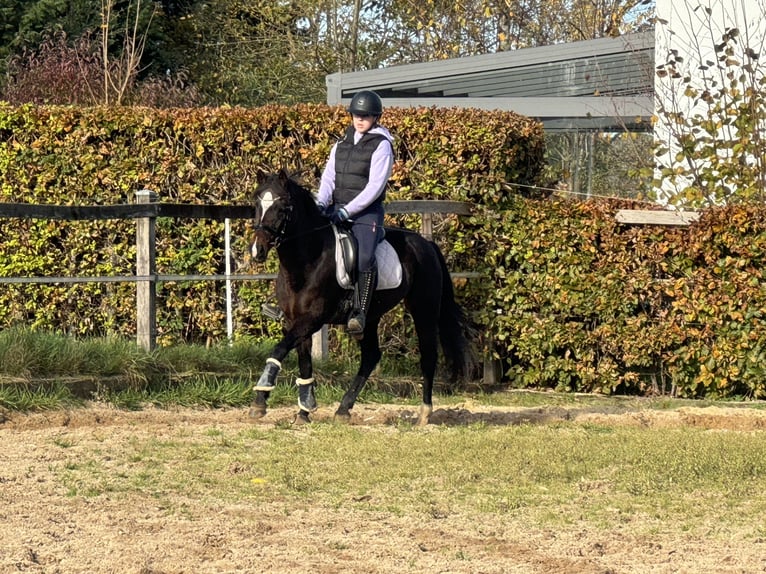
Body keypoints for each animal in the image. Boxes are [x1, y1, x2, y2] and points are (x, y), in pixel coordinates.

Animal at [248, 170, 472, 425]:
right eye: (257, 204)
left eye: (283, 207)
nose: (257, 250)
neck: (307, 260)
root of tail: (426, 244)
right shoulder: (295, 320)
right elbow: (304, 363)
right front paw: (304, 410)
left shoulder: (313, 318)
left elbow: (279, 350)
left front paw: (260, 399)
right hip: (370, 317)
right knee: (371, 356)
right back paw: (343, 409)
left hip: (424, 309)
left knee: (428, 355)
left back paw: (424, 414)